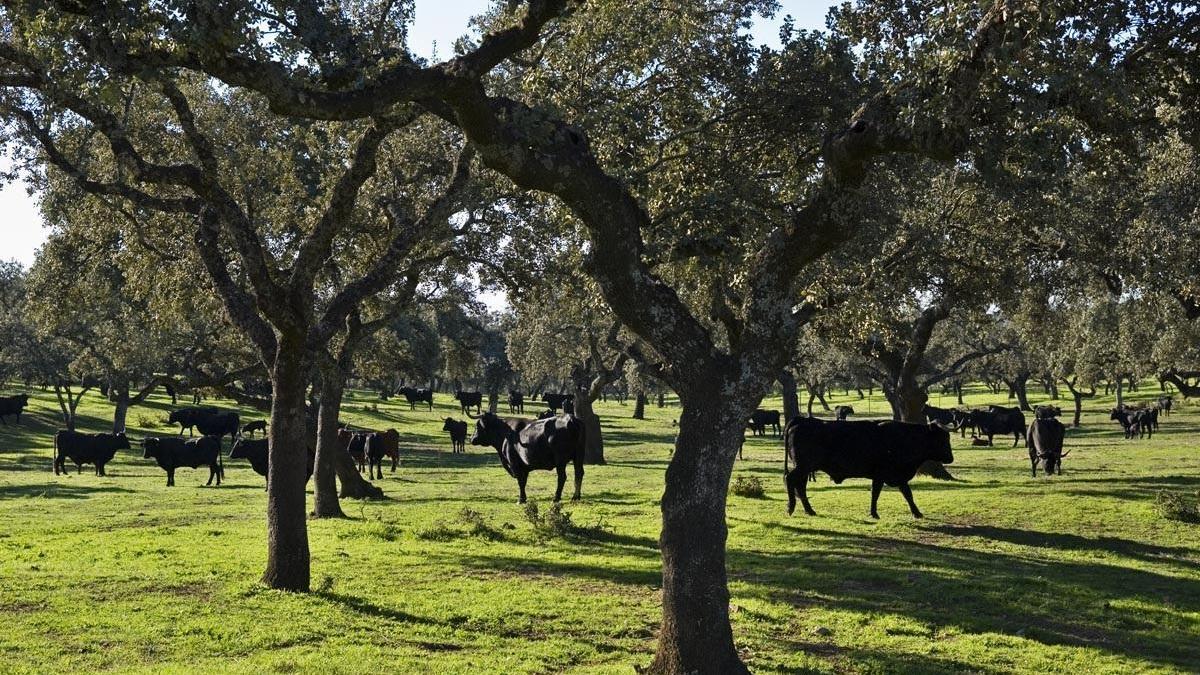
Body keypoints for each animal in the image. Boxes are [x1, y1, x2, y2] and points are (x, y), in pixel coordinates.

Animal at [777, 415, 955, 521]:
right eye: (942, 438)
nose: (950, 458)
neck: (903, 437)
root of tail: (802, 420)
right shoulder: (883, 474)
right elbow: (877, 493)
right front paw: (875, 513)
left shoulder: (895, 476)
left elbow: (906, 494)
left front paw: (916, 513)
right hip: (803, 466)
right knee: (790, 480)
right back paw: (791, 508)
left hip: (805, 468)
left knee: (800, 486)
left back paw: (809, 510)